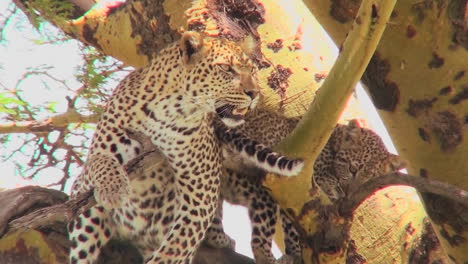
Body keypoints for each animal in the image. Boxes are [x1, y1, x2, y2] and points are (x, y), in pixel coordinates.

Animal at [69, 31, 304, 264]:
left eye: (253, 70)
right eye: (226, 68)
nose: (254, 93)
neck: (169, 109)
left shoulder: (201, 190)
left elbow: (175, 247)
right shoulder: (93, 164)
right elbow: (99, 161)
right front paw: (114, 188)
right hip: (86, 220)